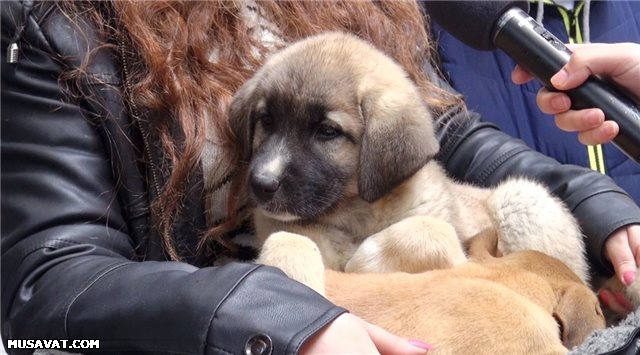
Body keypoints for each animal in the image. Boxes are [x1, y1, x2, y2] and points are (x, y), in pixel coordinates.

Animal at [230, 31, 592, 284]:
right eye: (266, 119)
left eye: (327, 131)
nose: (261, 183)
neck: (354, 215)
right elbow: (288, 238)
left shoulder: (454, 249)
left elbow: (430, 230)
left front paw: (363, 260)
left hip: (523, 197)